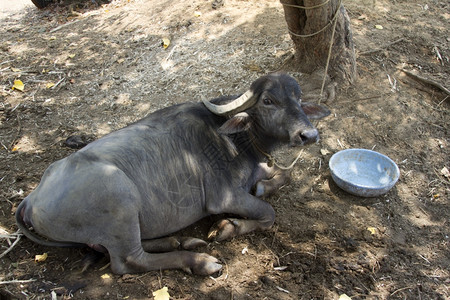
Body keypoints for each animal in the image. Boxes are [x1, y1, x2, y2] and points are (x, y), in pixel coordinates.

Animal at [15, 72, 328, 274]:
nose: (309, 134)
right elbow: (268, 213)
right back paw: (200, 261)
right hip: (121, 202)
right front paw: (227, 227)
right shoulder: (223, 197)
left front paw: (263, 185)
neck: (237, 140)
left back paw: (181, 240)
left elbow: (283, 176)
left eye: (298, 98)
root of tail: (31, 199)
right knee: (128, 261)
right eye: (268, 101)